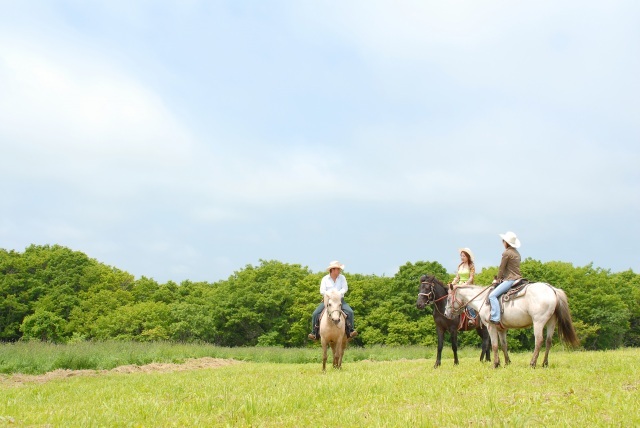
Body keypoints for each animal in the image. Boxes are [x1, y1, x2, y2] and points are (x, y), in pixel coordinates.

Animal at [444, 280, 580, 368]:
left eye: (449, 299)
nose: (446, 314)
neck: (482, 299)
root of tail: (552, 289)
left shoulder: (491, 327)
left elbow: (494, 345)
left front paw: (495, 364)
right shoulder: (501, 329)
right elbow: (504, 345)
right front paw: (506, 362)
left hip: (538, 322)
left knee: (539, 341)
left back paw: (532, 363)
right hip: (551, 322)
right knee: (548, 341)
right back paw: (544, 363)